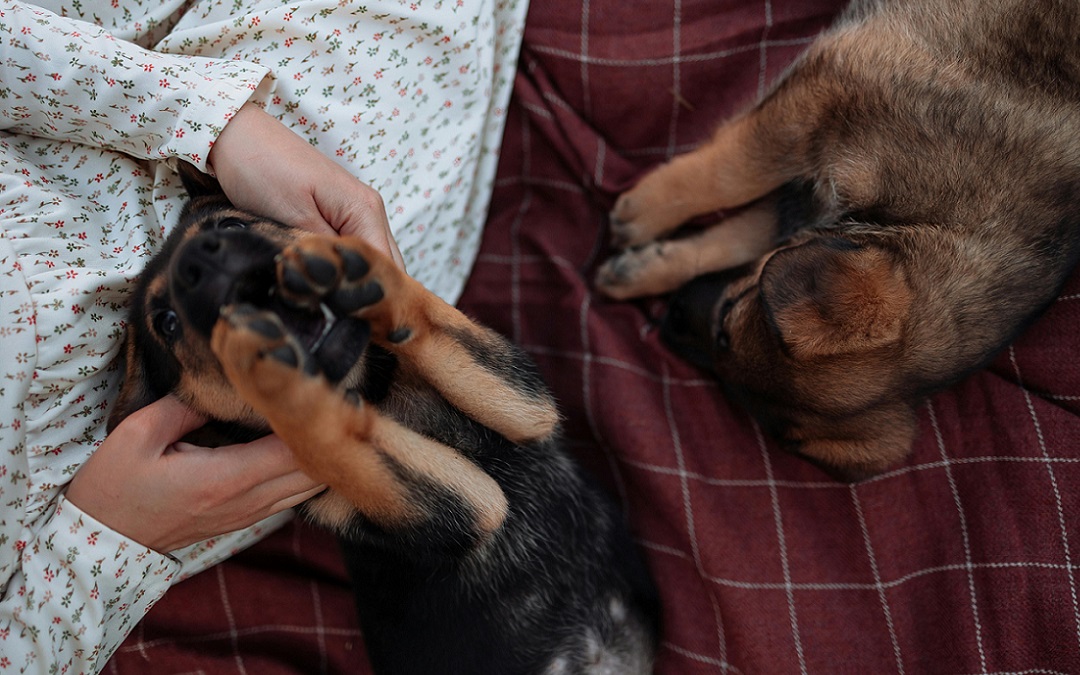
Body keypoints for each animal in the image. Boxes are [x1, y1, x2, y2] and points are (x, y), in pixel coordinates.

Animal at [109, 169, 656, 673]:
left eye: (231, 224)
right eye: (167, 323)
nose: (200, 261)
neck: (375, 394)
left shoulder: (526, 404)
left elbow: (424, 316)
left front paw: (360, 276)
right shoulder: (468, 507)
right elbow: (328, 433)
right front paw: (266, 373)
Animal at [596, 0, 1080, 479]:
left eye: (730, 380)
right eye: (727, 319)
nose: (668, 321)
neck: (944, 224)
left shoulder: (806, 199)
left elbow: (735, 235)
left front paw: (640, 268)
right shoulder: (825, 97)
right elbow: (734, 174)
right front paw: (645, 212)